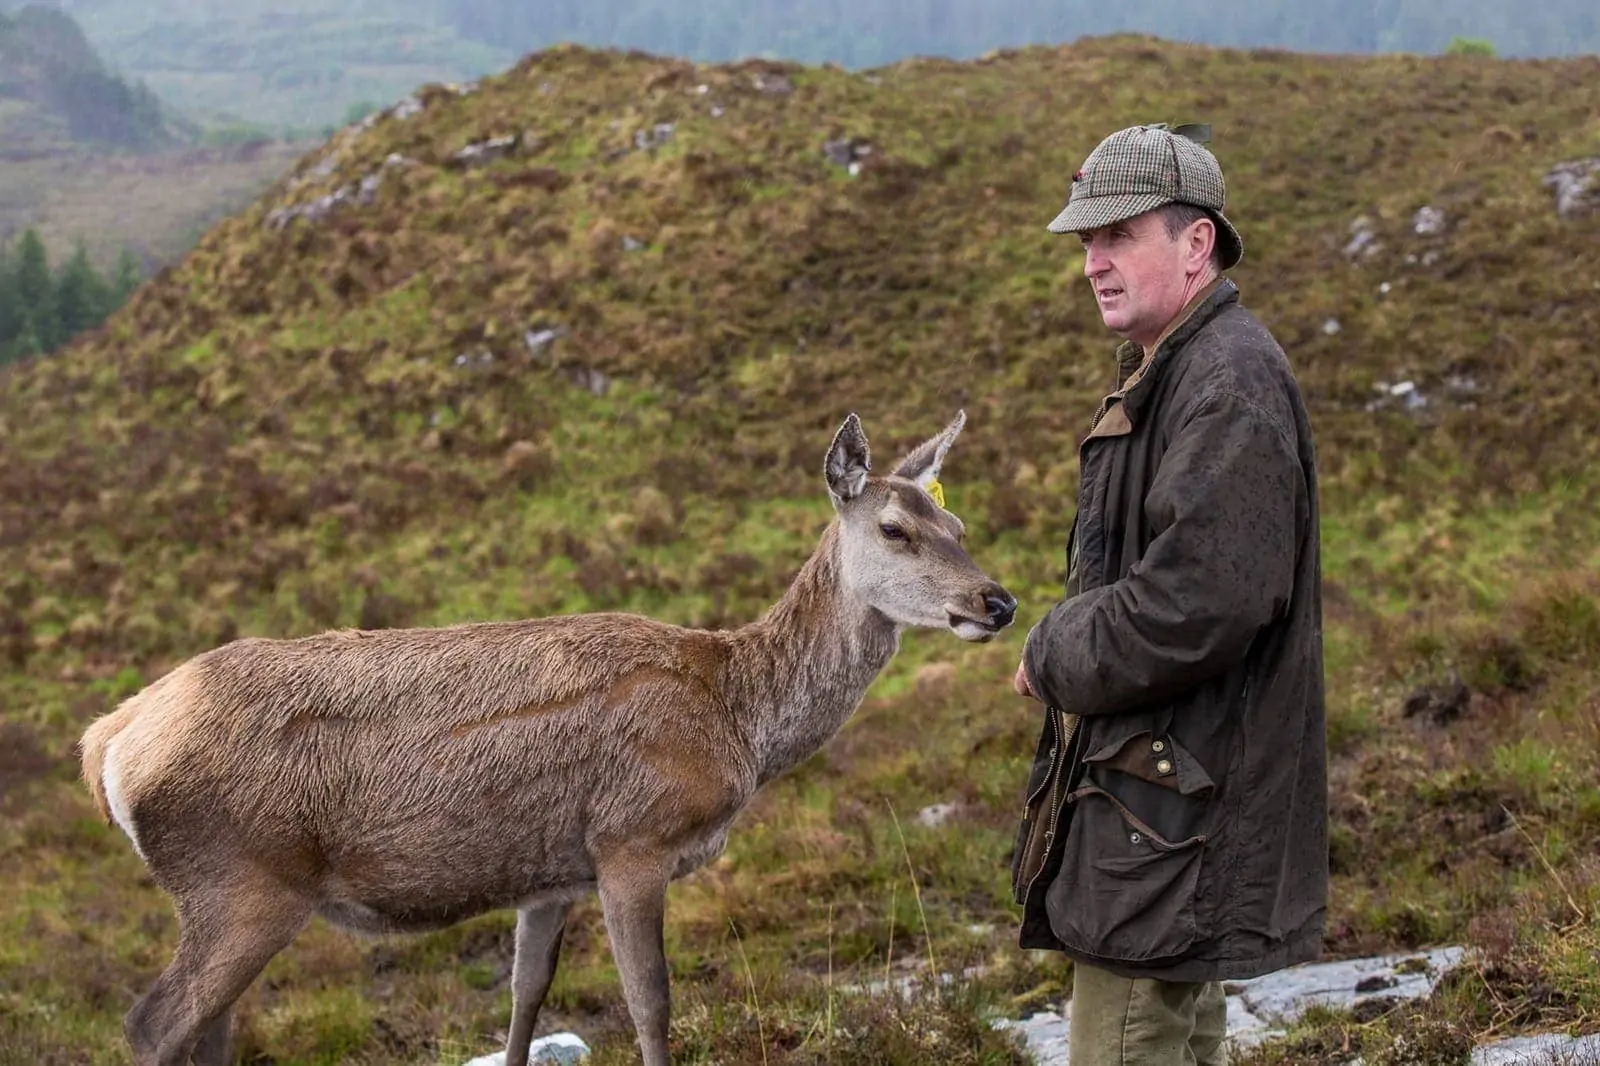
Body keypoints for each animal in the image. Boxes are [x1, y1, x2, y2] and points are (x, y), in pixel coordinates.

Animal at [78, 410, 1016, 1066]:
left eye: (960, 526)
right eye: (895, 529)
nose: (997, 601)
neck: (737, 722)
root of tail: (110, 743)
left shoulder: (549, 875)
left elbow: (526, 1000)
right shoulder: (632, 839)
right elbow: (652, 1004)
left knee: (207, 1029)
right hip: (242, 880)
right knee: (154, 1023)